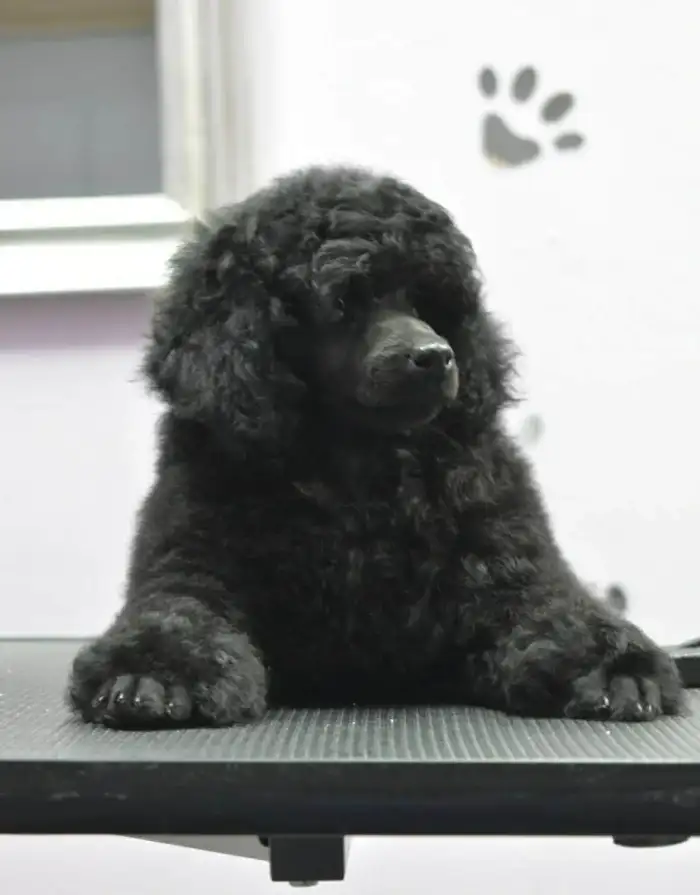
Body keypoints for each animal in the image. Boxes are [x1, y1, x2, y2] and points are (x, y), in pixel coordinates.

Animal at [68, 165, 682, 727]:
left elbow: (556, 614)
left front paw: (615, 668)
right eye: (343, 304)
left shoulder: (512, 569)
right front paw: (151, 672)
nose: (436, 356)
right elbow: (177, 615)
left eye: (431, 303)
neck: (362, 470)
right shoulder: (190, 562)